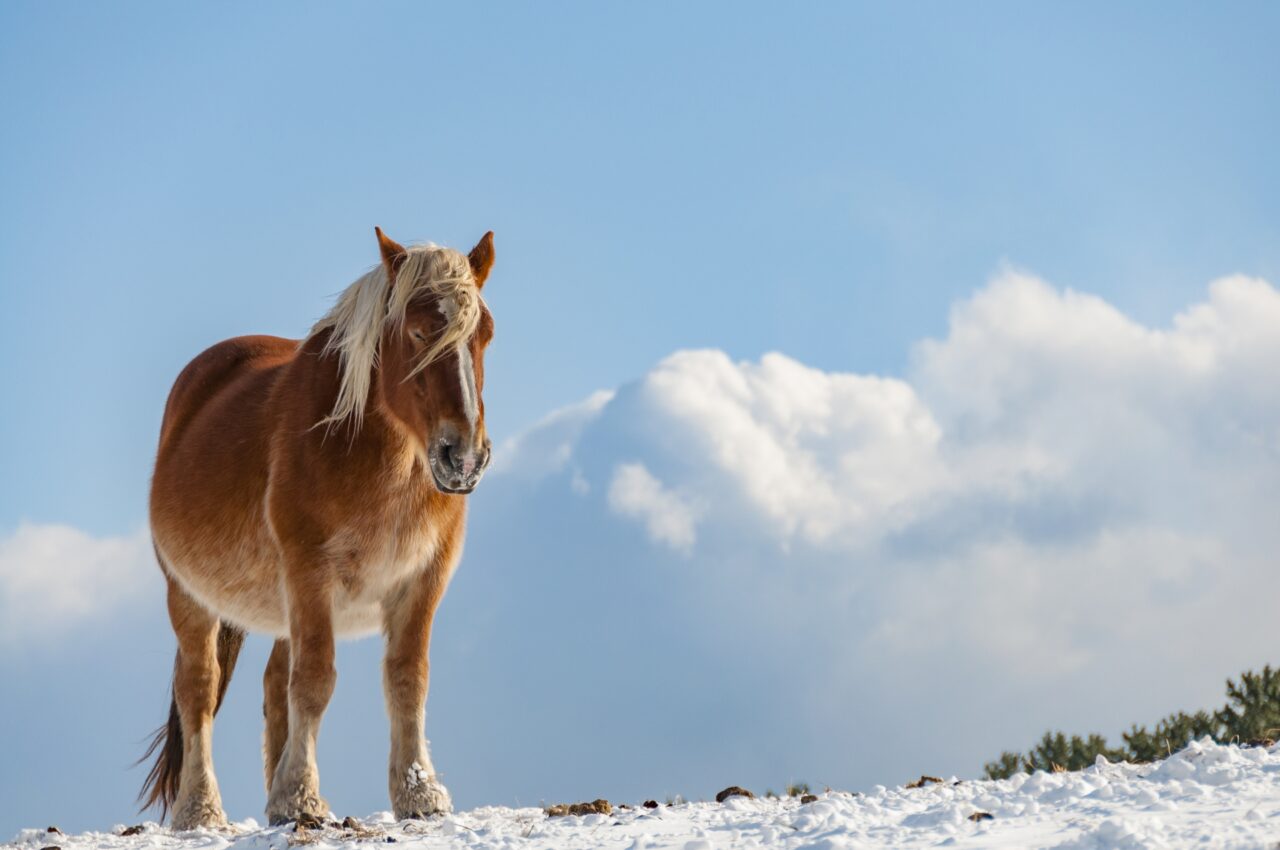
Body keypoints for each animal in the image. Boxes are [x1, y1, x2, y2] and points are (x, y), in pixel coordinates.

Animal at [140, 227, 496, 829]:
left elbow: (407, 679)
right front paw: (302, 796)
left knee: (270, 685)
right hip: (188, 594)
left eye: (486, 335)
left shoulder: (424, 579)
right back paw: (201, 809)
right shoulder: (311, 574)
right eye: (418, 332)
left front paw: (418, 793)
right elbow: (314, 681)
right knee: (199, 689)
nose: (463, 457)